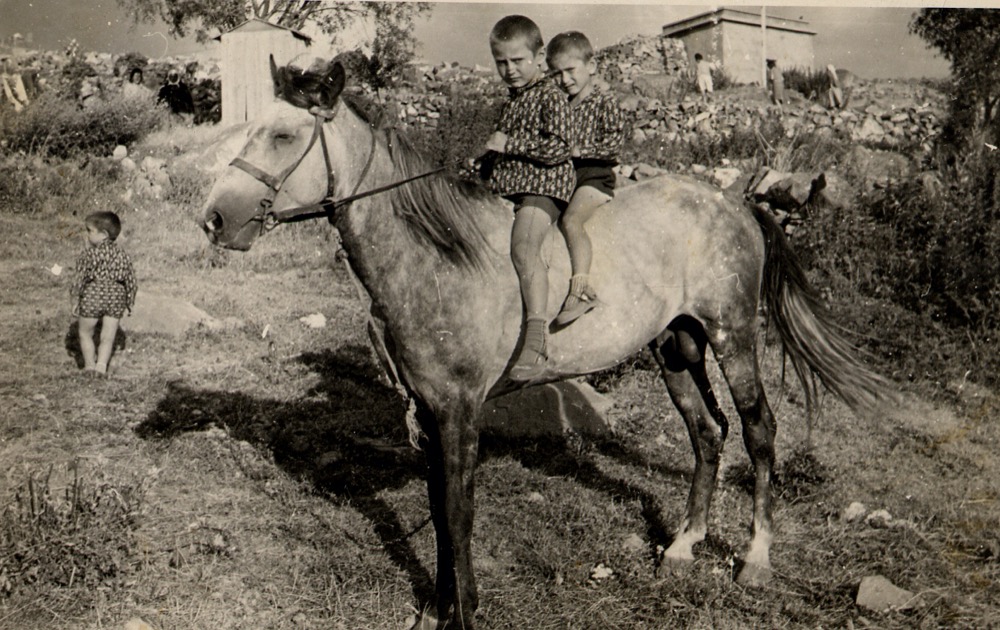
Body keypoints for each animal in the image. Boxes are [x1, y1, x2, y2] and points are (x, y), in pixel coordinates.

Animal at [201, 58, 892, 628]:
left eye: (283, 136)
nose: (214, 219)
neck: (437, 257)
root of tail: (735, 203)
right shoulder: (430, 410)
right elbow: (439, 511)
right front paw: (437, 609)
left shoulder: (459, 410)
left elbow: (458, 513)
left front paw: (464, 613)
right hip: (676, 346)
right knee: (707, 431)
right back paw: (682, 546)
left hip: (733, 334)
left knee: (757, 431)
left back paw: (754, 559)